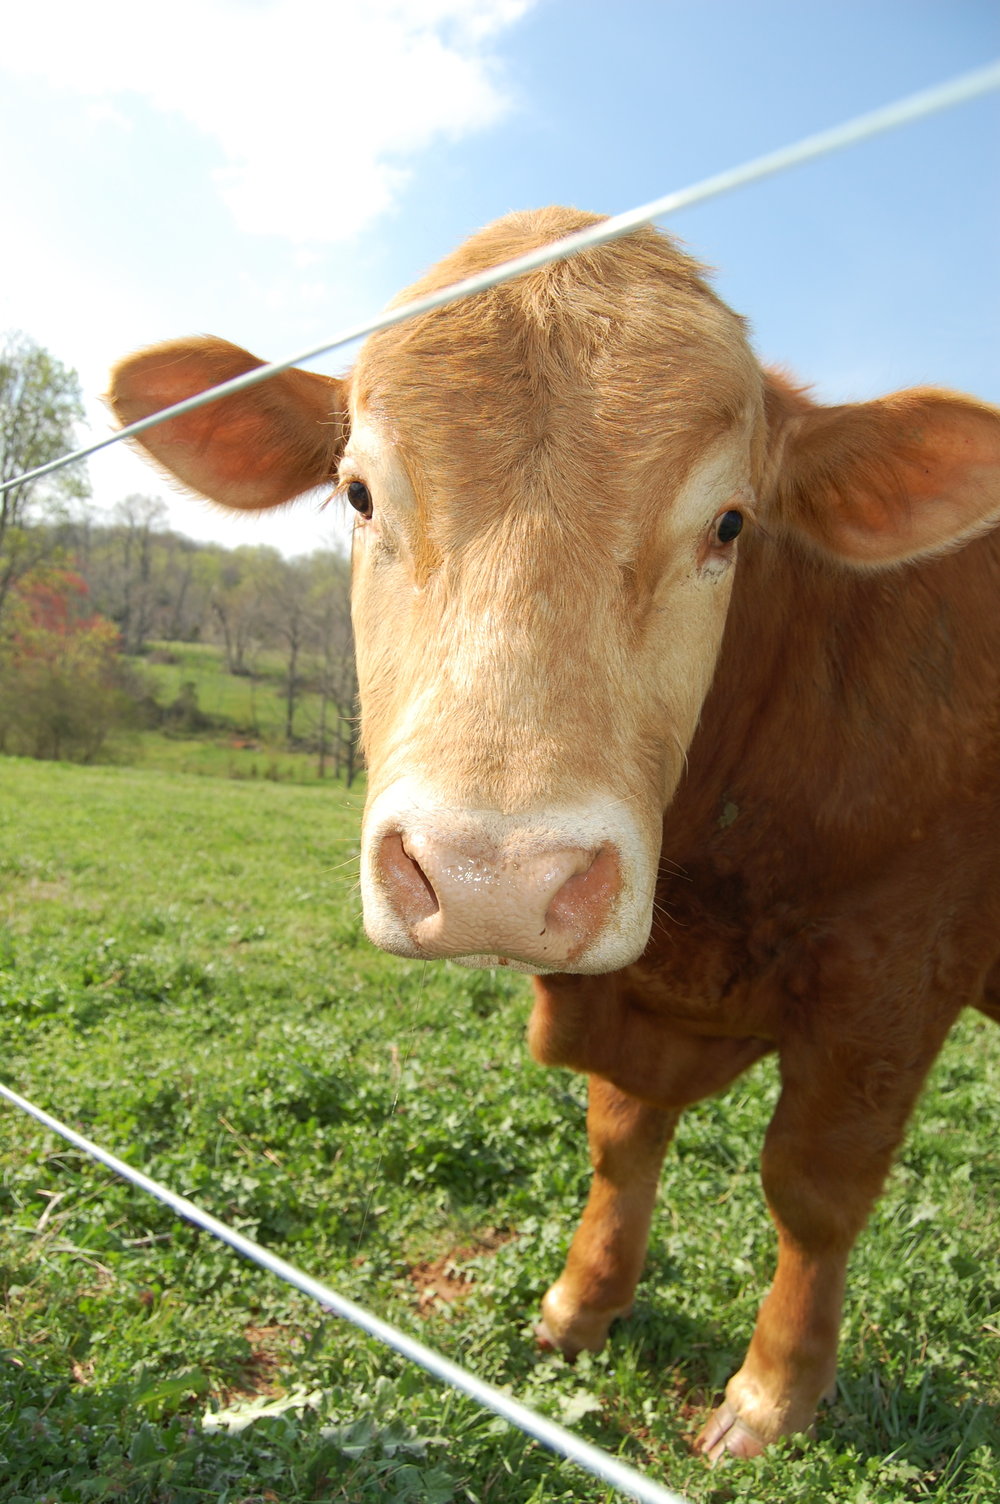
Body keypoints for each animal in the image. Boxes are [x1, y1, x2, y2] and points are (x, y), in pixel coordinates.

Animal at [109, 208, 1000, 1461]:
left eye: (730, 522)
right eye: (359, 494)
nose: (493, 874)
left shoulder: (892, 971)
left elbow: (813, 1191)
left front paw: (770, 1396)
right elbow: (621, 1134)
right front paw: (583, 1301)